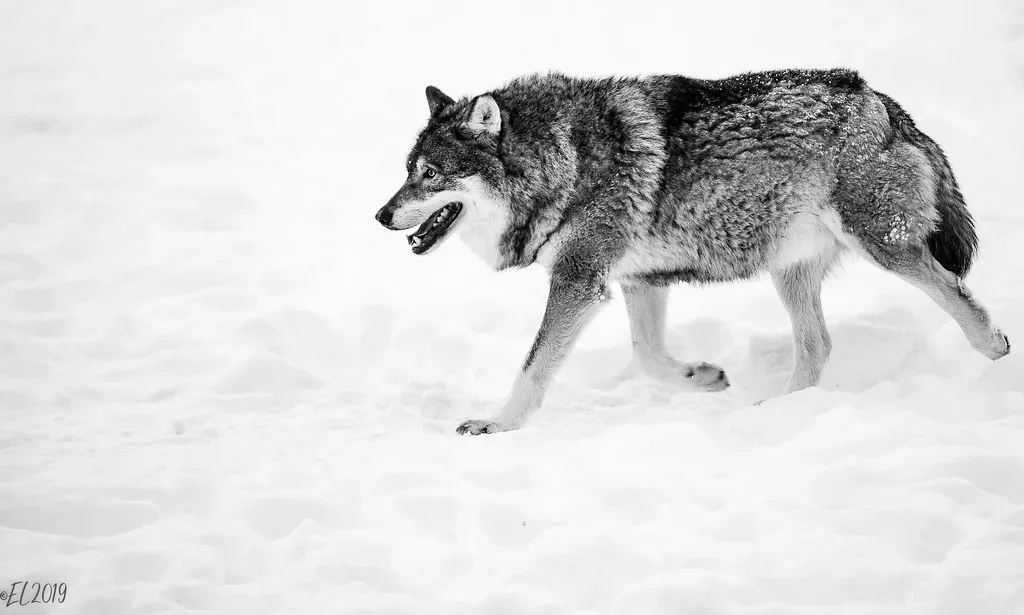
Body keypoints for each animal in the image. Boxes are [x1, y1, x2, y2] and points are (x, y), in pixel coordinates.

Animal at [375, 69, 1011, 435]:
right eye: (407, 172)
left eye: (430, 175)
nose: (380, 215)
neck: (565, 162)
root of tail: (881, 101)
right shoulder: (637, 281)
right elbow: (648, 356)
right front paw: (701, 377)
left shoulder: (580, 281)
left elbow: (533, 368)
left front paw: (498, 426)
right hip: (789, 270)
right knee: (818, 346)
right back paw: (775, 413)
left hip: (883, 245)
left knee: (958, 295)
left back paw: (997, 353)